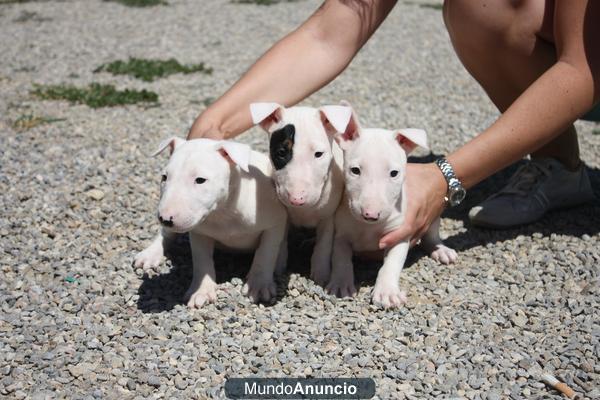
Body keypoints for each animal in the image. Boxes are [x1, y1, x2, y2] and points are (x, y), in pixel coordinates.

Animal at [134, 136, 288, 308]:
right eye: (164, 178)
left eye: (200, 180)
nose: (165, 219)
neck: (224, 212)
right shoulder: (199, 232)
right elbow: (202, 260)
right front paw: (201, 291)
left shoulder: (275, 223)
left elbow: (266, 253)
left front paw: (259, 286)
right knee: (166, 235)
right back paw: (149, 255)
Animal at [250, 101, 352, 286]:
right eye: (281, 152)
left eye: (318, 154)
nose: (297, 199)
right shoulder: (283, 215)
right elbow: (280, 241)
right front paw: (277, 267)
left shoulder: (329, 216)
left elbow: (324, 243)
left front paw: (321, 274)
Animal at [326, 103, 458, 310]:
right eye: (355, 170)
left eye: (394, 173)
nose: (370, 214)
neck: (368, 228)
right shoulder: (340, 234)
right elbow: (341, 257)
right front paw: (341, 284)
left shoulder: (400, 234)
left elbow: (391, 265)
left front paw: (387, 292)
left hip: (434, 215)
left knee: (431, 235)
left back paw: (441, 250)